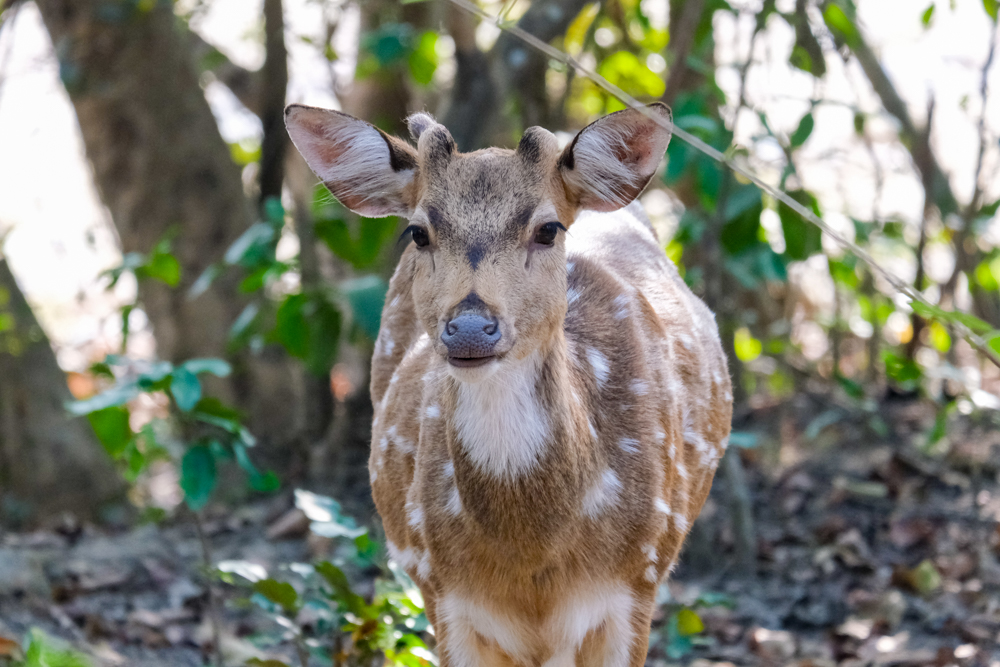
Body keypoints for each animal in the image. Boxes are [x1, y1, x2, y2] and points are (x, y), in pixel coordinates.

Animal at [286, 103, 732, 667]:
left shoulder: (638, 579)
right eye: (418, 232)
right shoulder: (446, 592)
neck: (532, 552)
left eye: (547, 229)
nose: (471, 327)